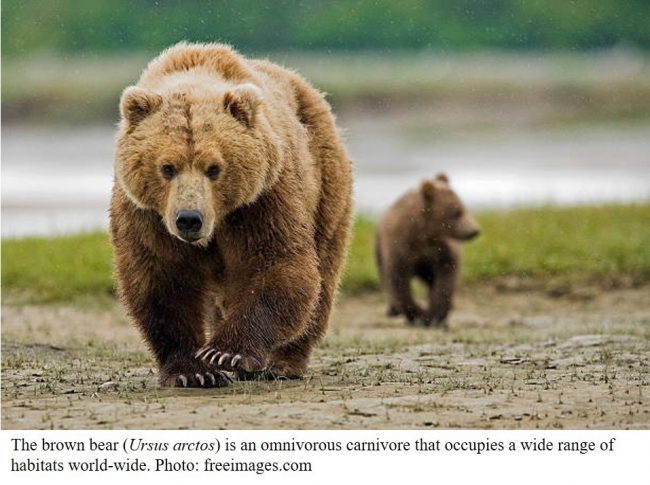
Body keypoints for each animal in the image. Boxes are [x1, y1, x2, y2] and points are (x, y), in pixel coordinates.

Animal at [110, 42, 353, 387]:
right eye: (167, 167)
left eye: (214, 168)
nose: (189, 218)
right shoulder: (147, 216)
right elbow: (161, 278)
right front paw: (192, 370)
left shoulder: (261, 199)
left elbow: (276, 263)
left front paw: (226, 353)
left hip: (324, 182)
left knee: (323, 273)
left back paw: (283, 363)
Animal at [375, 173, 480, 328]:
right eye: (457, 212)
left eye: (464, 207)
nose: (475, 230)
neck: (426, 234)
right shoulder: (402, 247)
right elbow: (399, 280)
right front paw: (419, 315)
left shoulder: (441, 251)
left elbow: (445, 280)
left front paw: (435, 315)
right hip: (379, 246)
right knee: (384, 276)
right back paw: (393, 310)